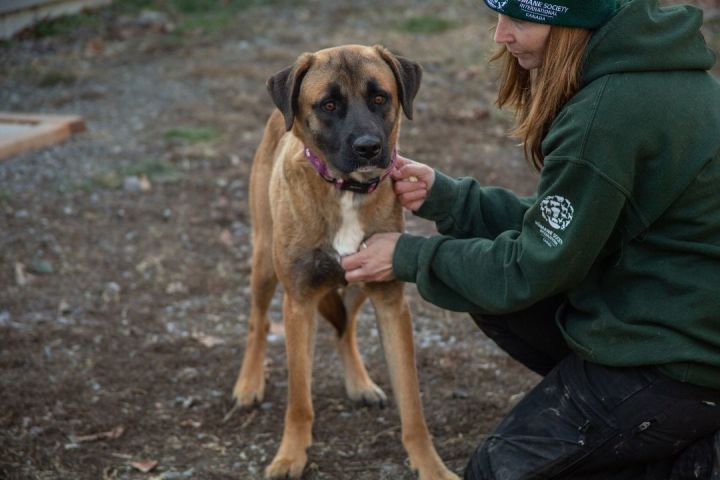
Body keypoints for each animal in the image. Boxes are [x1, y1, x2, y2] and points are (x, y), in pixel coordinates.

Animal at [236, 45, 458, 480]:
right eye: (329, 104)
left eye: (380, 98)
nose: (369, 147)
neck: (346, 191)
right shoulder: (299, 302)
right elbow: (299, 400)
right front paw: (290, 456)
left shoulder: (390, 301)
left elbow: (413, 406)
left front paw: (431, 465)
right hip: (265, 263)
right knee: (259, 322)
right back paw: (249, 384)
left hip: (358, 284)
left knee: (345, 329)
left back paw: (359, 383)